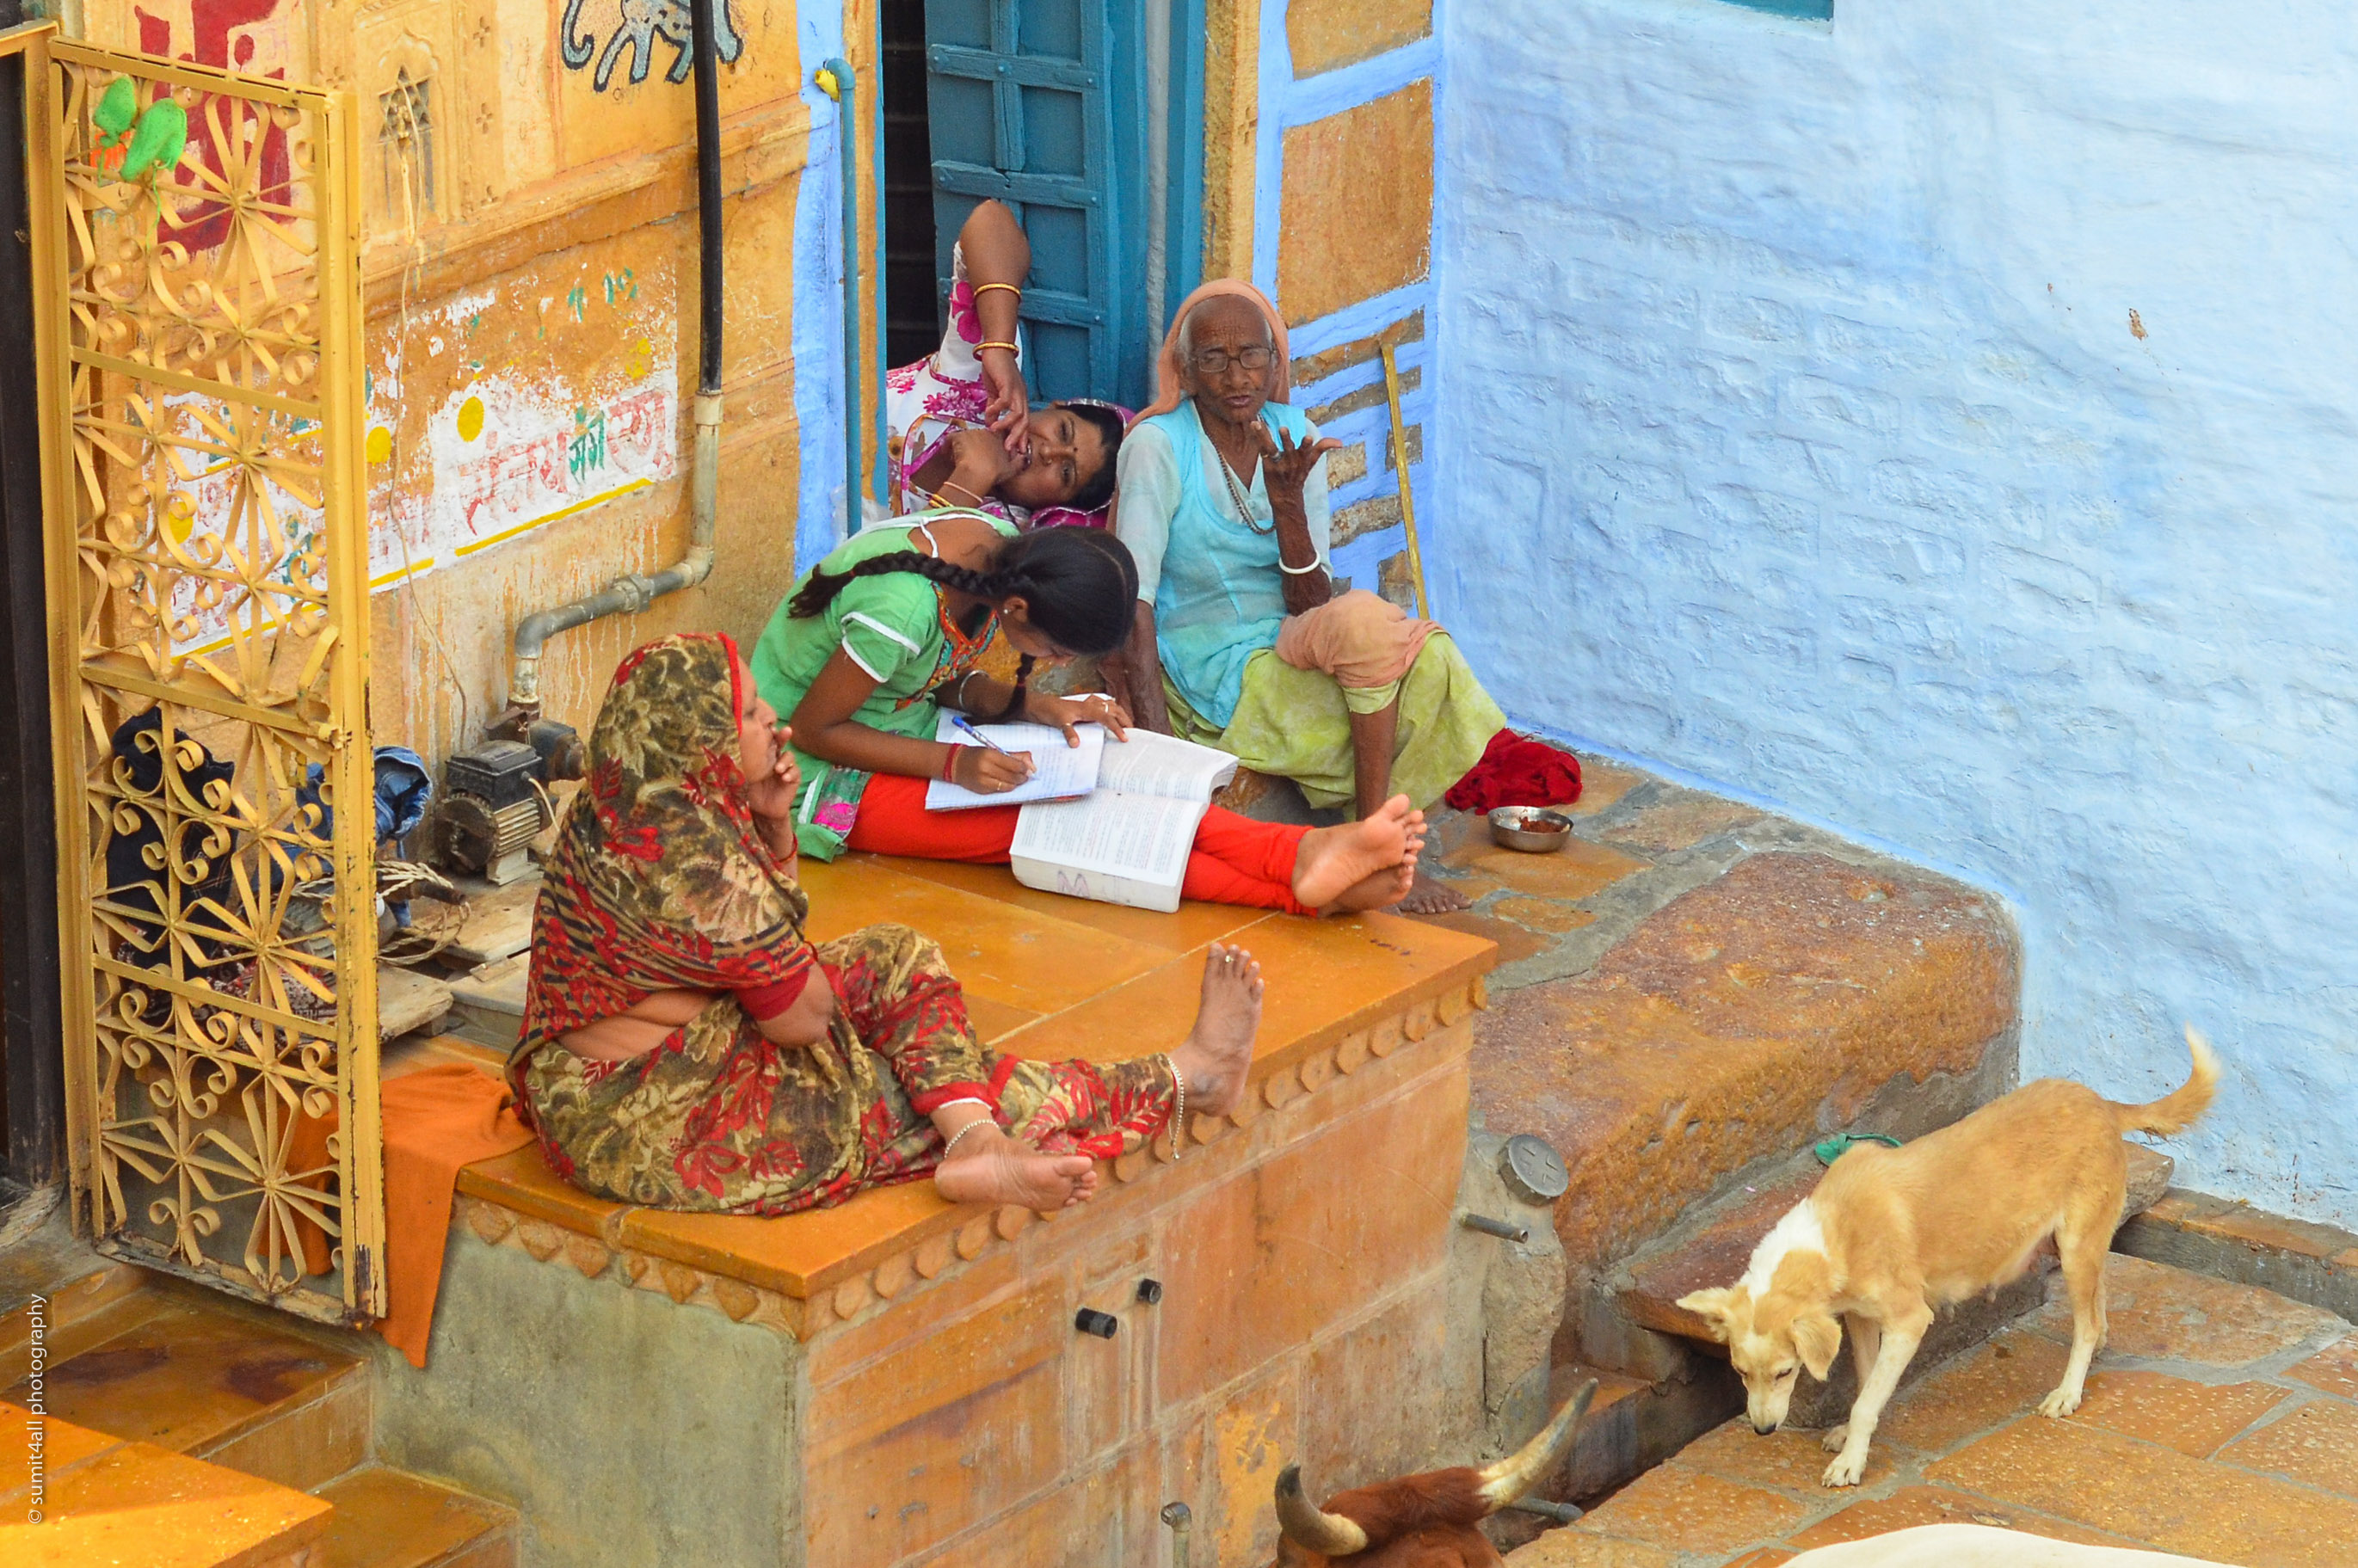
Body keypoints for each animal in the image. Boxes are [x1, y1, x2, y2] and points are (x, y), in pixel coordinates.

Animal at [1678, 1028, 2207, 1480]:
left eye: (1786, 1372)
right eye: (1740, 1373)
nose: (1763, 1431)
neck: (1833, 1233)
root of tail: (2103, 1104)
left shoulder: (1909, 1321)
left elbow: (1866, 1401)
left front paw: (1850, 1462)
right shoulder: (1862, 1320)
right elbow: (1868, 1382)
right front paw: (1850, 1438)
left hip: (2075, 1248)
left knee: (2088, 1321)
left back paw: (2068, 1392)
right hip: (2075, 1244)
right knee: (2097, 1302)